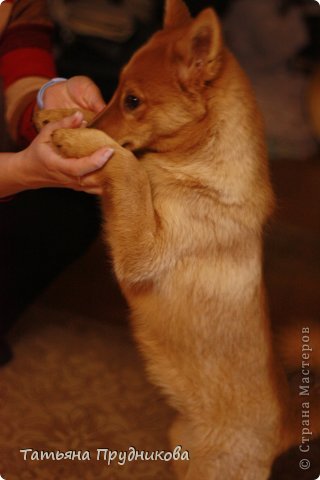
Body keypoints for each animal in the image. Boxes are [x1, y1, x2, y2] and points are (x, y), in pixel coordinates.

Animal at [35, 1, 320, 478]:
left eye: (133, 101)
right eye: (116, 89)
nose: (82, 123)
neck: (194, 166)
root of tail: (286, 426)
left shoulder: (141, 254)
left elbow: (126, 163)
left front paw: (78, 137)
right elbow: (123, 153)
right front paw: (63, 116)